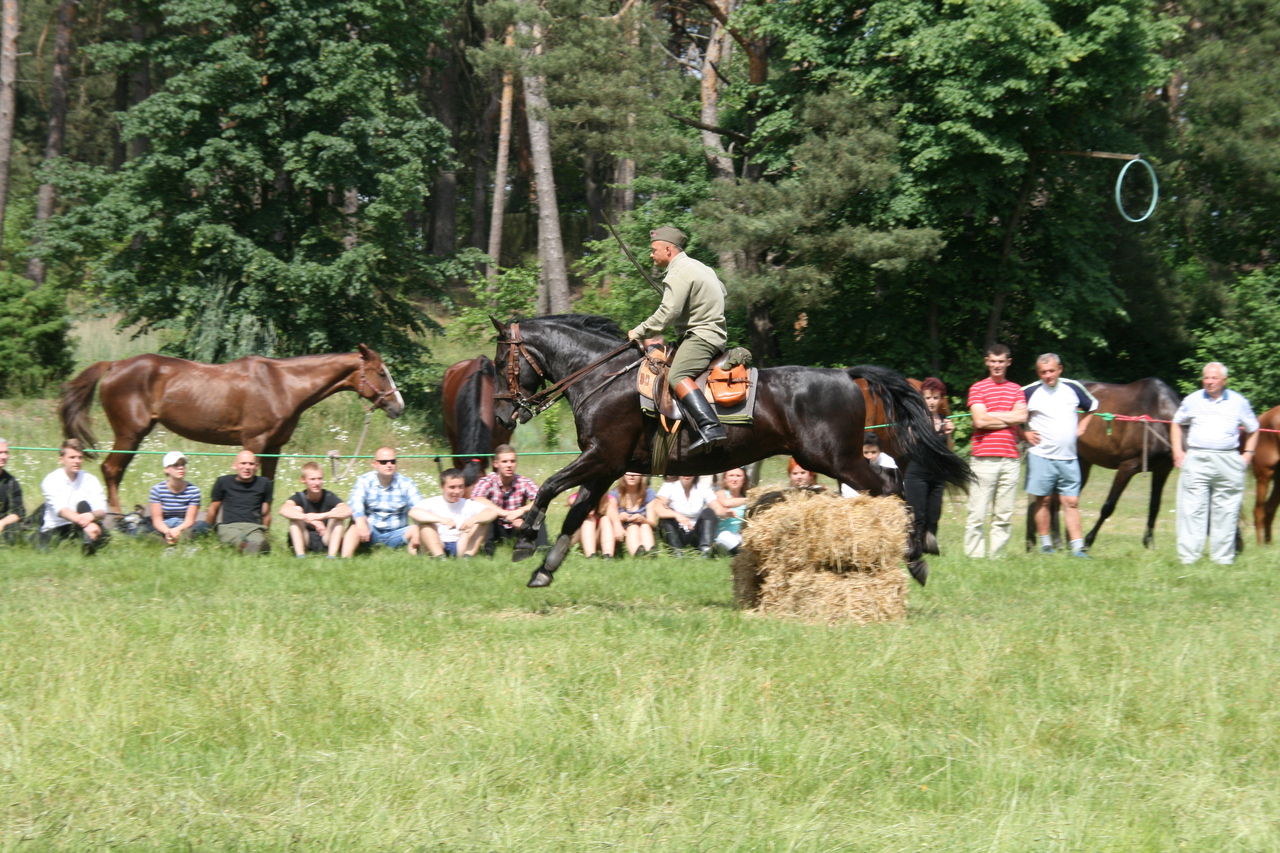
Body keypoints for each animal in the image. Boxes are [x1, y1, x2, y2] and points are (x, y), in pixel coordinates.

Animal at [56, 343, 399, 507]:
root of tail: (114, 365)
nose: (399, 406)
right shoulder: (254, 442)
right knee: (111, 470)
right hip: (129, 434)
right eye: (381, 372)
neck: (283, 385)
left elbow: (269, 485)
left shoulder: (274, 446)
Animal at [488, 312, 967, 584]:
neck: (601, 377)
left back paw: (915, 556)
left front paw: (525, 538)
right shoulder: (606, 466)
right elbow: (576, 513)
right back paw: (914, 550)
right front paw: (545, 569)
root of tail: (848, 375)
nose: (501, 416)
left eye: (499, 361)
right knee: (891, 481)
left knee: (889, 485)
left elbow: (550, 487)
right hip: (835, 459)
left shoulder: (601, 456)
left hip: (835, 458)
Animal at [1029, 376, 1177, 548]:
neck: (1157, 415)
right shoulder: (1128, 467)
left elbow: (1155, 506)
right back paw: (1059, 542)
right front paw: (1088, 541)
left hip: (1082, 464)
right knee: (1055, 500)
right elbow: (1108, 506)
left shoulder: (1162, 470)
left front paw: (1149, 543)